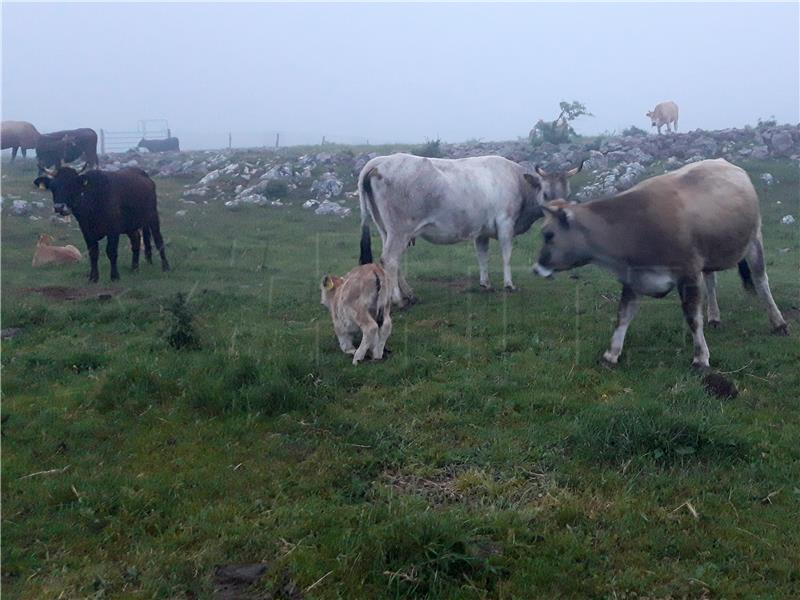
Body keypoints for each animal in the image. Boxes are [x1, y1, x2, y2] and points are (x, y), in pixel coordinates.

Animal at [33, 168, 170, 282]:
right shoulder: (86, 231)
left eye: (71, 186)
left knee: (158, 240)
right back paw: (134, 268)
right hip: (131, 226)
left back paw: (166, 267)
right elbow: (93, 253)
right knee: (136, 240)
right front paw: (93, 278)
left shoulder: (113, 231)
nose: (59, 207)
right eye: (53, 187)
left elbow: (111, 252)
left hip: (152, 217)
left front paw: (114, 276)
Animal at [532, 157, 788, 368]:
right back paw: (714, 316)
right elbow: (623, 315)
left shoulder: (688, 273)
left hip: (754, 239)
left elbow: (692, 318)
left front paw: (701, 358)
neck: (632, 227)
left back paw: (778, 322)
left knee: (761, 281)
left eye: (548, 235)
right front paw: (611, 354)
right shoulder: (634, 277)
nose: (536, 269)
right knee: (712, 280)